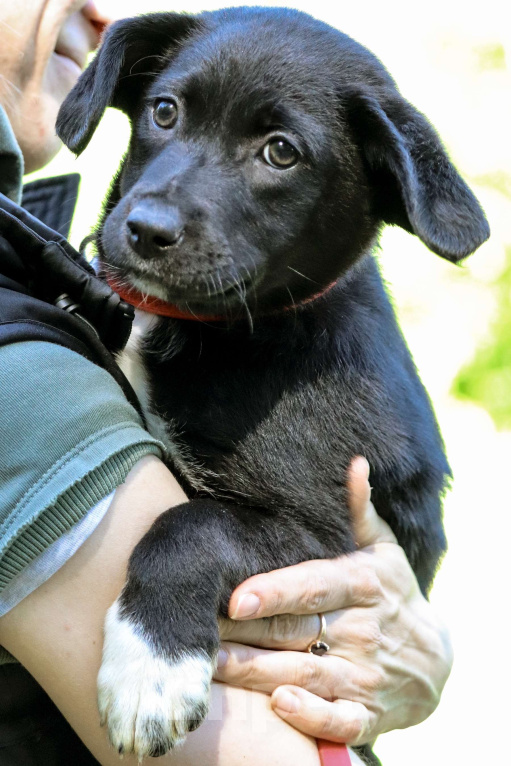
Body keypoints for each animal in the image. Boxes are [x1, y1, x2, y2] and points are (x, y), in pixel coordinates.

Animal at [58, 6, 490, 760]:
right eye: (164, 111)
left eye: (281, 153)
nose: (145, 230)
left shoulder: (328, 537)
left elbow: (190, 525)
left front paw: (150, 671)